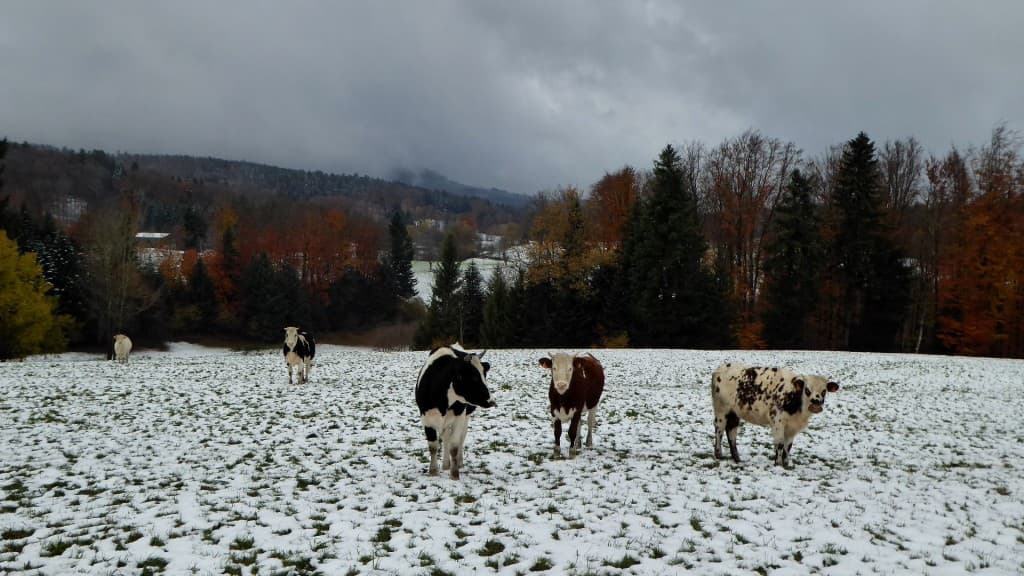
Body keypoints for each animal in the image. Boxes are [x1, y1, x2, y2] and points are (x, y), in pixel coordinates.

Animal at [415, 343, 495, 479]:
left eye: (484, 375)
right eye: (474, 377)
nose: (491, 401)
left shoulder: (459, 417)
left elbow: (454, 446)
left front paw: (454, 474)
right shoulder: (426, 417)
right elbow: (433, 446)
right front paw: (433, 472)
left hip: (465, 417)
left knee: (461, 437)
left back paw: (459, 462)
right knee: (446, 437)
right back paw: (445, 464)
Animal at [711, 363, 840, 467]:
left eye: (824, 391)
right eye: (807, 390)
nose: (816, 402)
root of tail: (721, 368)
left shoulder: (792, 427)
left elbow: (788, 446)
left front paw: (786, 464)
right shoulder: (777, 422)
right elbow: (780, 444)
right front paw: (778, 464)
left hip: (734, 413)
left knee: (731, 431)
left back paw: (737, 458)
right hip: (721, 410)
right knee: (719, 430)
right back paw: (718, 454)